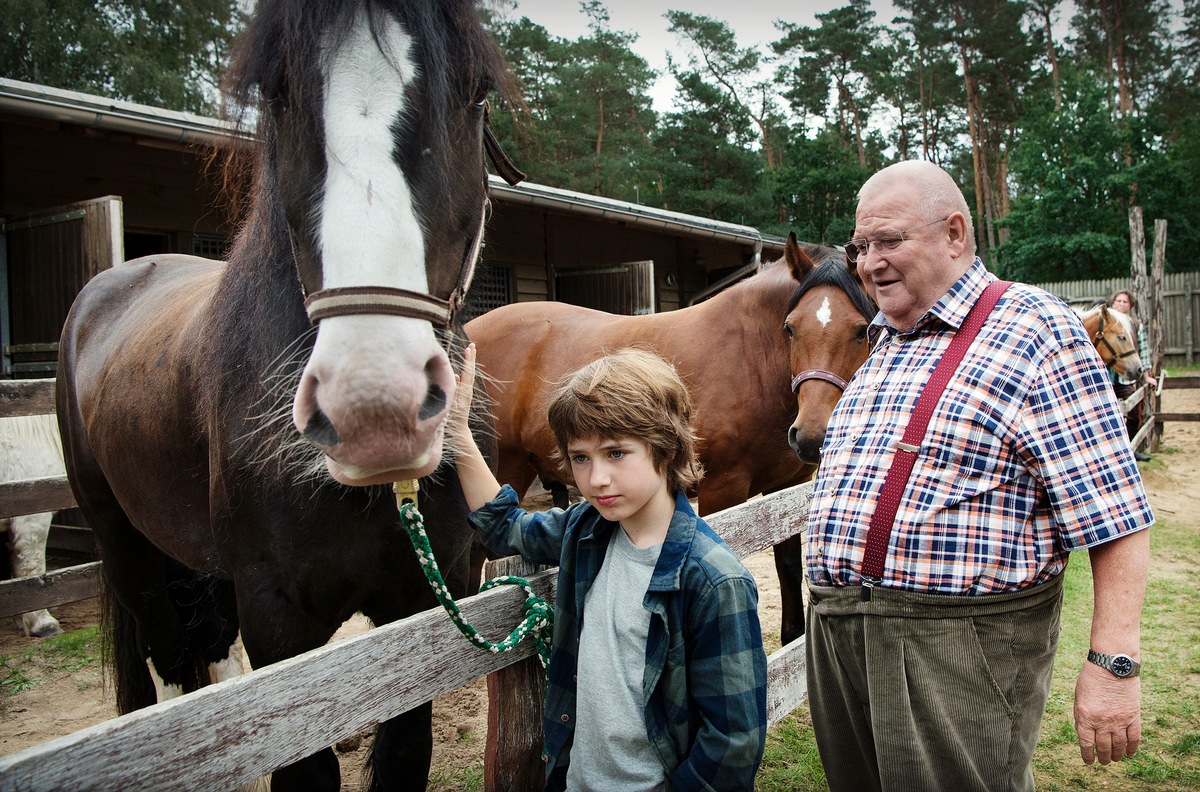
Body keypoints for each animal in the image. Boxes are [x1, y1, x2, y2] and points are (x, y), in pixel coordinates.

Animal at [56, 3, 516, 787]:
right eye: (276, 95)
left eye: (477, 90)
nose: (374, 409)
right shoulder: (278, 622)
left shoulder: (428, 605)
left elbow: (404, 753)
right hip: (124, 549)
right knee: (170, 670)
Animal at [465, 234, 873, 643]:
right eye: (790, 328)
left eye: (862, 329)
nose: (811, 436)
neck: (751, 356)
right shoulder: (722, 490)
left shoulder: (785, 487)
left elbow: (788, 566)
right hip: (509, 467)